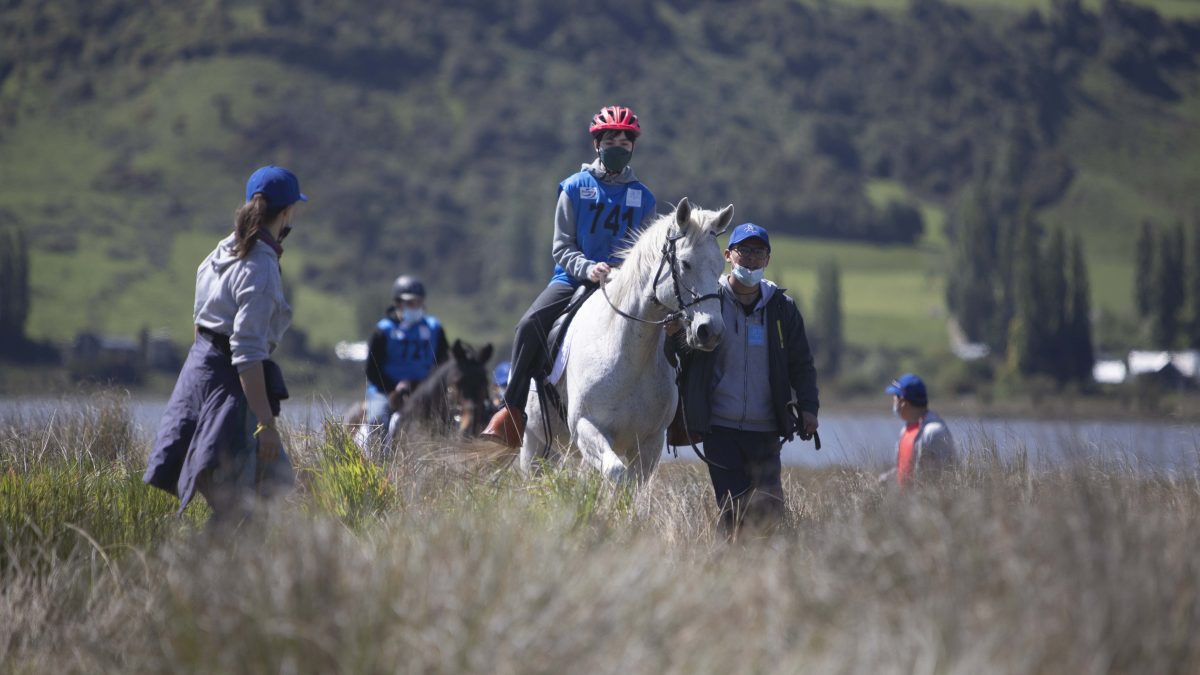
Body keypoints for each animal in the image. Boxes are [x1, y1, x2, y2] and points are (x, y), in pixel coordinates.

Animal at [523, 196, 729, 480]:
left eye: (720, 265)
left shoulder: (649, 445)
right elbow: (615, 473)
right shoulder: (587, 427)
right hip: (534, 443)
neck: (630, 354)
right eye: (685, 263)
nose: (710, 331)